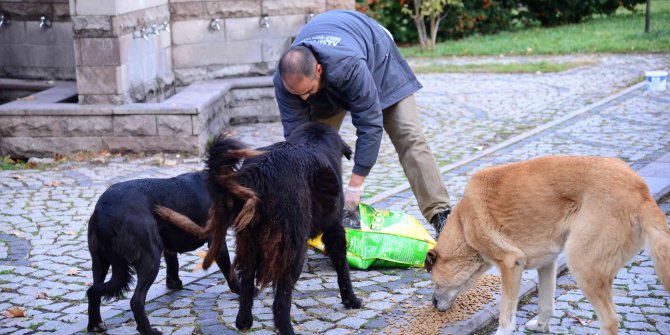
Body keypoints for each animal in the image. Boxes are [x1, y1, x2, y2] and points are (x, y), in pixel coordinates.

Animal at [85, 172, 240, 334]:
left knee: (94, 292)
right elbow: (230, 272)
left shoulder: (169, 244)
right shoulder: (217, 242)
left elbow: (173, 263)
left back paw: (95, 325)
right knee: (136, 301)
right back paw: (149, 330)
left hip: (99, 262)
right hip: (151, 257)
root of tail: (104, 211)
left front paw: (173, 283)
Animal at [166, 122, 364, 335]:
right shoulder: (335, 228)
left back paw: (243, 322)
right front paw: (351, 300)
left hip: (249, 243)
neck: (312, 139)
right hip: (292, 250)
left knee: (246, 286)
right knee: (281, 301)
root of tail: (261, 171)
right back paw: (287, 329)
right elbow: (343, 269)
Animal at [426, 157, 670, 335]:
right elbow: (546, 303)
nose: (433, 303)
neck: (464, 224)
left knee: (610, 321)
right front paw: (542, 326)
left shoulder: (510, 265)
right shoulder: (547, 264)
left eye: (435, 282)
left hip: (581, 265)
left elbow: (506, 316)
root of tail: (641, 192)